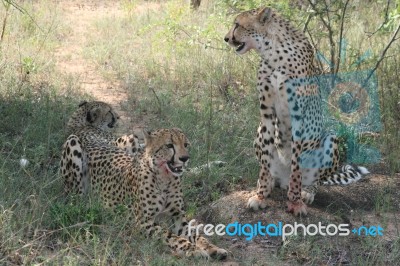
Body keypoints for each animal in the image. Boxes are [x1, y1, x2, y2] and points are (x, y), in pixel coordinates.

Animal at [223, 7, 368, 216]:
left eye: (237, 24)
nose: (226, 38)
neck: (272, 51)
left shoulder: (299, 113)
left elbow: (297, 163)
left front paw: (296, 201)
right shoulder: (266, 111)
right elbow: (266, 159)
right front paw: (261, 195)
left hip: (331, 139)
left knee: (316, 180)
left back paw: (306, 191)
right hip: (258, 133)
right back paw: (270, 183)